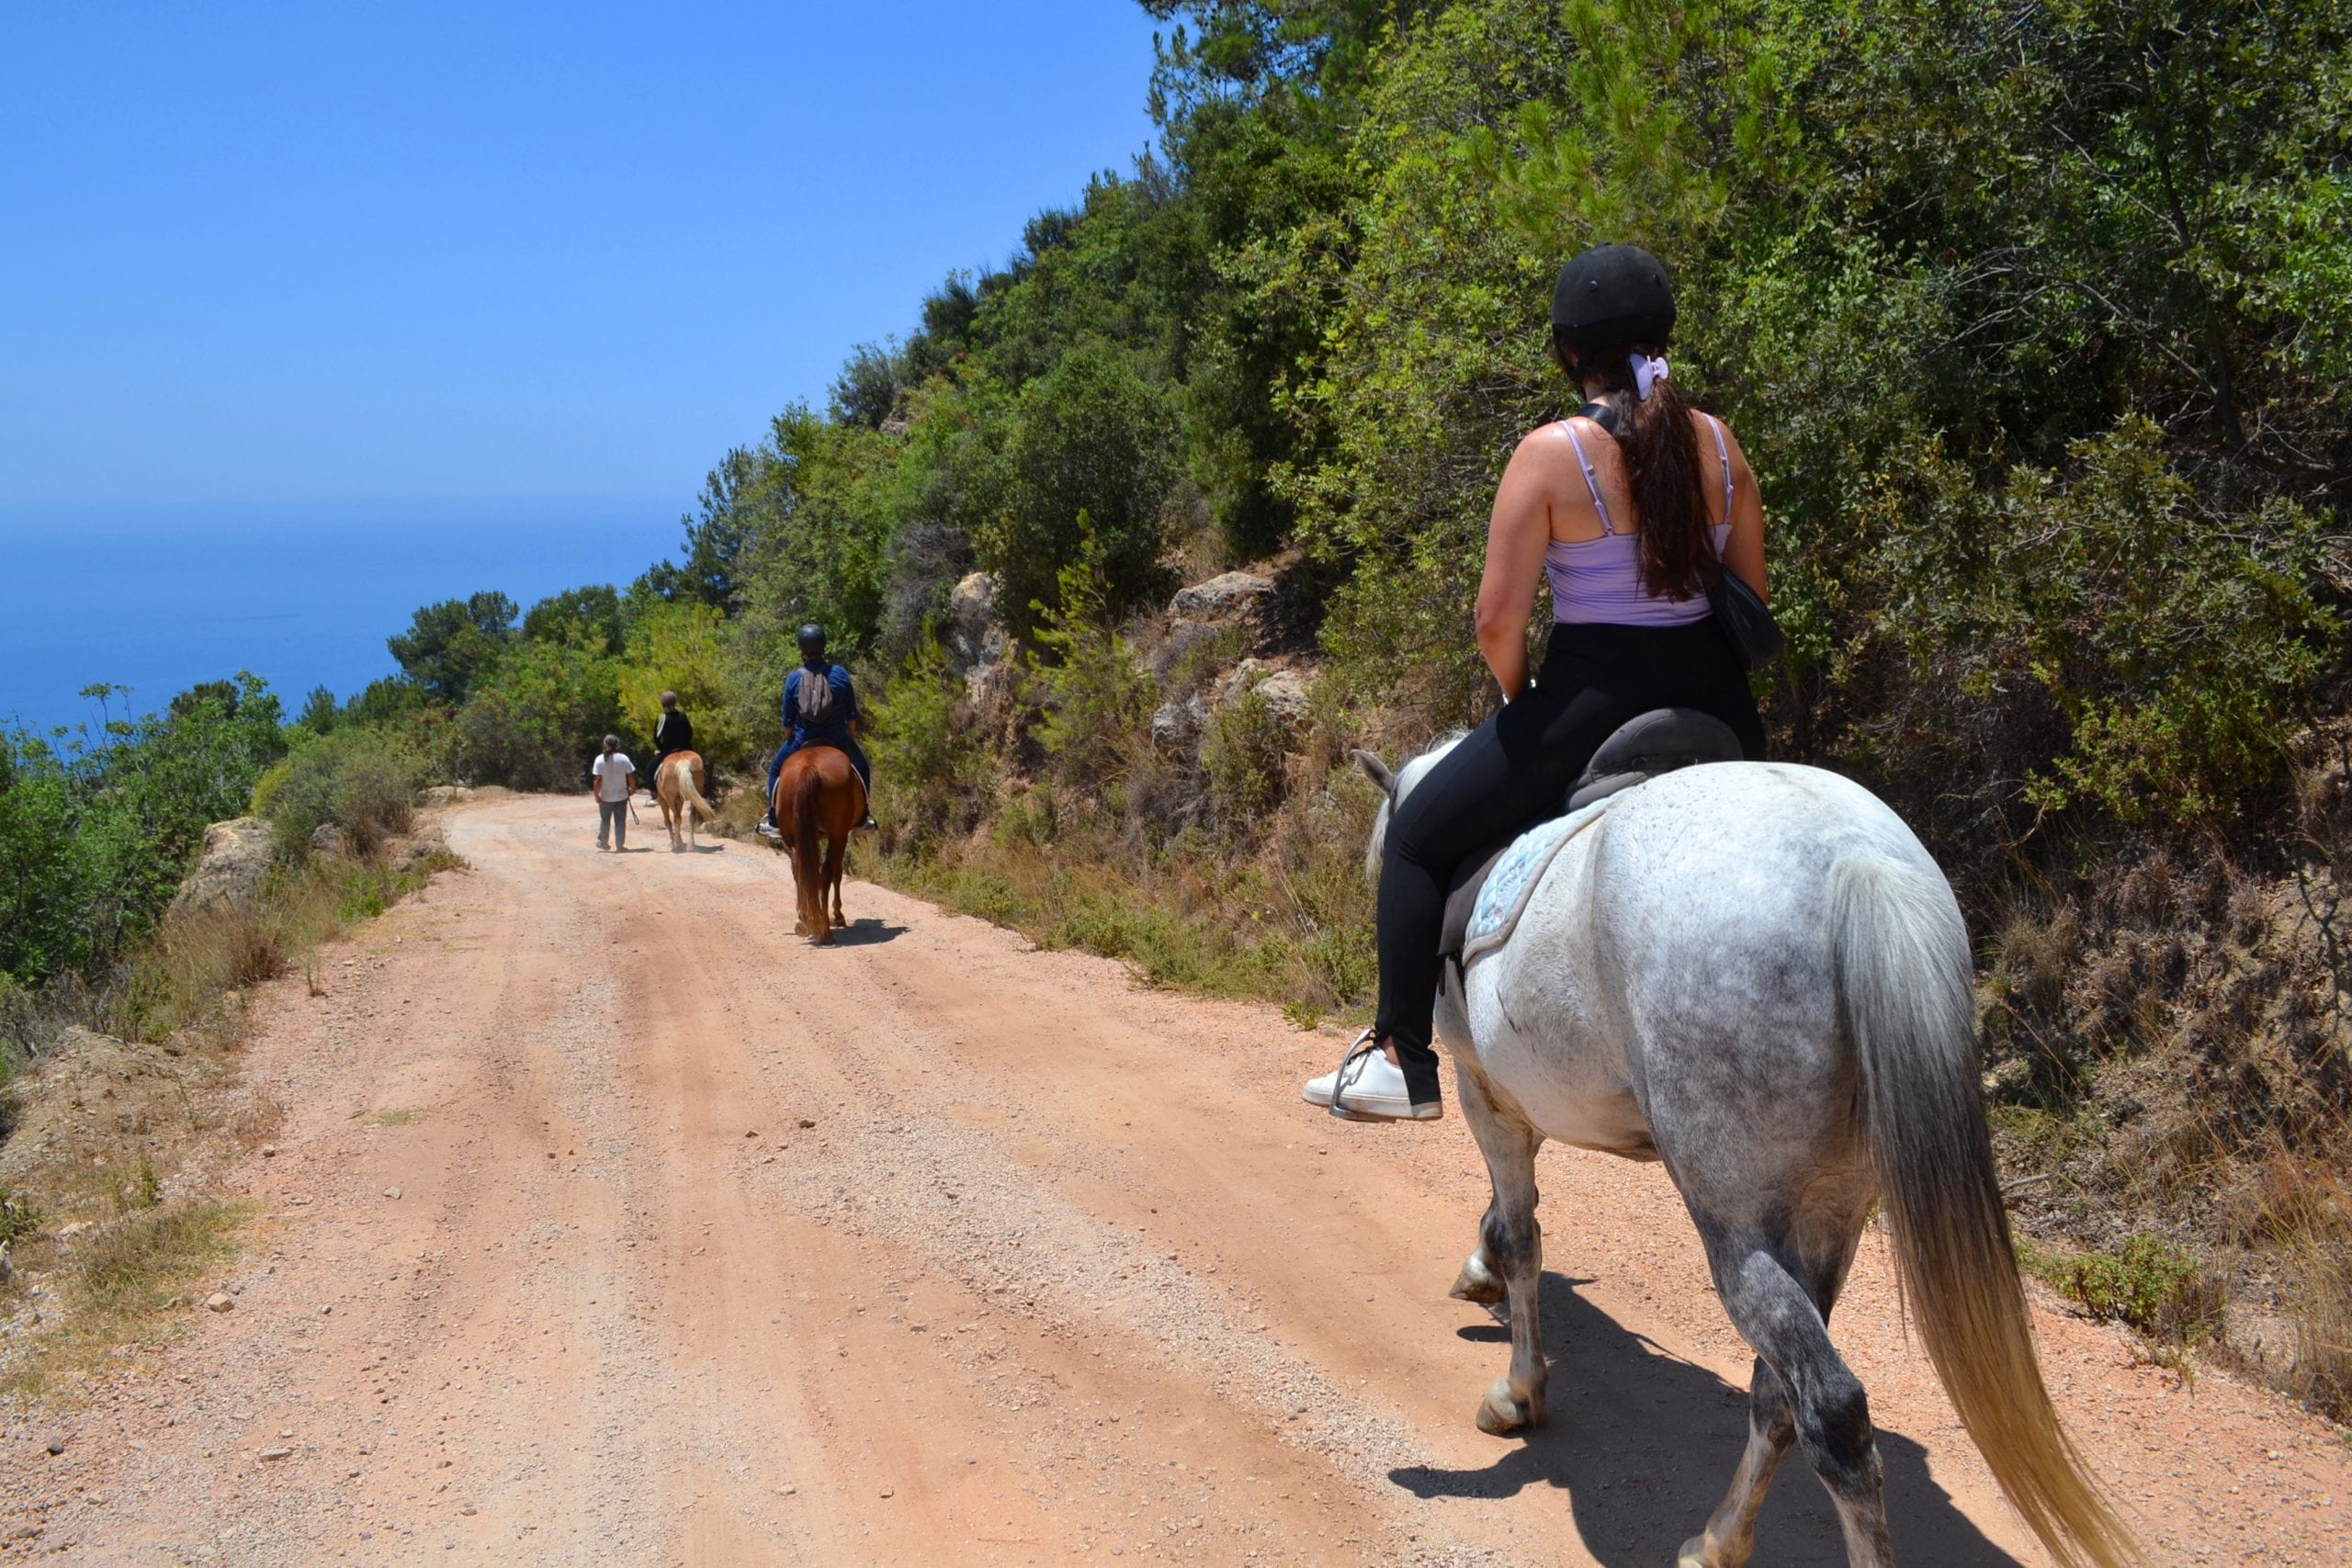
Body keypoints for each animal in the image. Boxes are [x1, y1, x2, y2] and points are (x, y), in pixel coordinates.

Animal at [771, 745, 863, 942]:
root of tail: (810, 768)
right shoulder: (840, 836)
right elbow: (837, 872)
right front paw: (837, 914)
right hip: (838, 834)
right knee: (827, 872)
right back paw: (824, 929)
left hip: (792, 836)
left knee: (800, 869)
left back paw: (804, 921)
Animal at [1353, 739, 2134, 1568]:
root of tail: (1858, 858)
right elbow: (1510, 1221)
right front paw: (1482, 1275)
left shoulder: (1486, 1095)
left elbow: (1520, 1235)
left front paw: (1518, 1386)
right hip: (1831, 1214)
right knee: (1779, 1392)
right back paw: (1719, 1540)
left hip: (1736, 1224)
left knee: (1832, 1411)